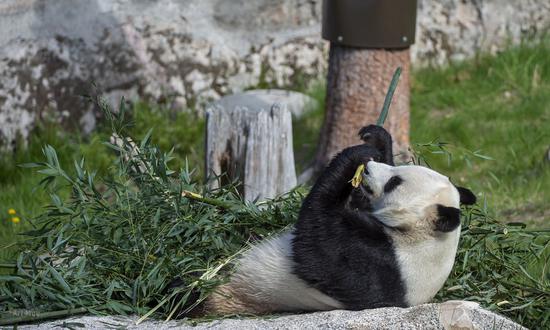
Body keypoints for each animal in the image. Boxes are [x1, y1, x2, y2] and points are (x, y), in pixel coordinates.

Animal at [199, 125, 478, 314]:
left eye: (394, 182)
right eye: (397, 171)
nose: (369, 169)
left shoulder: (379, 262)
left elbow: (316, 237)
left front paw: (356, 155)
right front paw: (376, 139)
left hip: (227, 290)